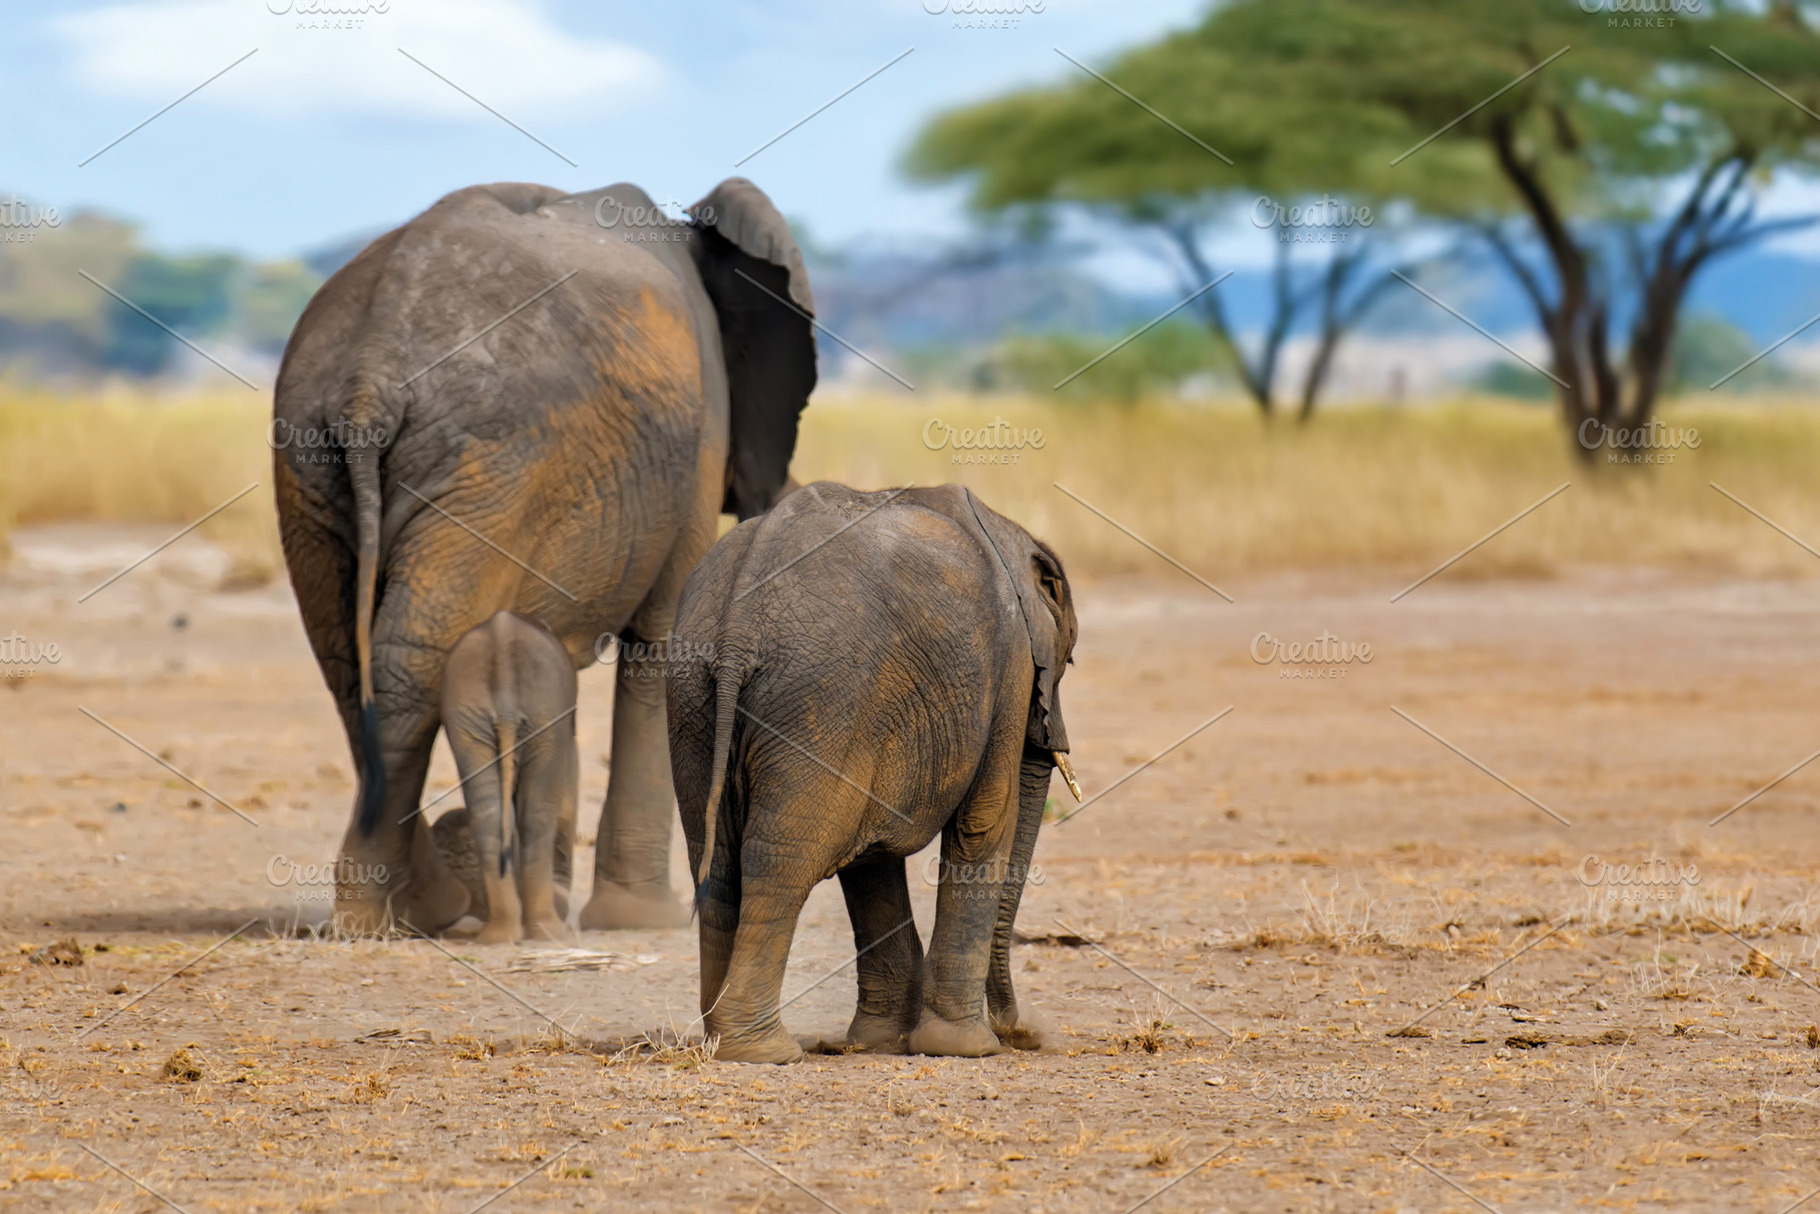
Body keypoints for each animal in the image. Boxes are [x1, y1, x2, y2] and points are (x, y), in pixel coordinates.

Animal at [438, 610, 577, 943]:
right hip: (545, 716)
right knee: (538, 813)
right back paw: (549, 933)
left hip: (467, 717)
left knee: (487, 812)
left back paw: (498, 935)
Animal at [666, 483, 1081, 1063]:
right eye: (1069, 659)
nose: (1021, 1033)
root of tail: (736, 635)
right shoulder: (1010, 668)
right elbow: (982, 823)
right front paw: (967, 1048)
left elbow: (870, 862)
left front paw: (882, 1043)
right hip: (820, 699)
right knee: (778, 864)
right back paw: (763, 1050)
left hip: (694, 696)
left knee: (718, 863)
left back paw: (720, 1040)